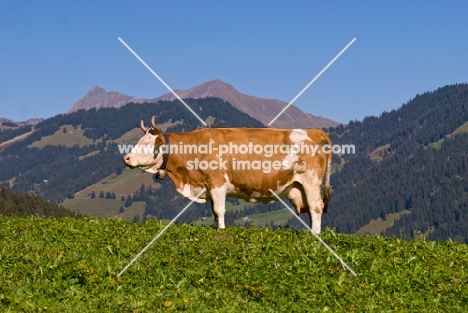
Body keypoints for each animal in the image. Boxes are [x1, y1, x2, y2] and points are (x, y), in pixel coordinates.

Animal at [122, 116, 330, 233]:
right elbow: (214, 211)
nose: (126, 158)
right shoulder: (209, 185)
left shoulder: (217, 182)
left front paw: (221, 231)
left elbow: (219, 210)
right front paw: (216, 228)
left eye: (146, 143)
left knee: (316, 207)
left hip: (311, 181)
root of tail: (316, 131)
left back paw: (316, 234)